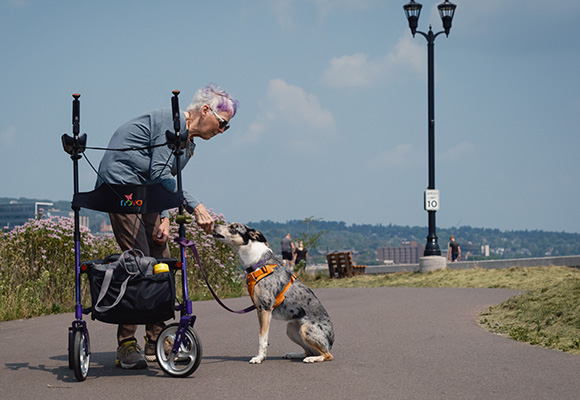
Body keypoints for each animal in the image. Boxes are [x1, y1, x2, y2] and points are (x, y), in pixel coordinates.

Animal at [212, 223, 336, 364]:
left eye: (233, 227)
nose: (214, 225)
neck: (258, 263)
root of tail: (331, 342)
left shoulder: (265, 309)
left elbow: (262, 338)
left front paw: (259, 358)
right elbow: (264, 338)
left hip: (305, 330)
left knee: (327, 355)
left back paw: (312, 359)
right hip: (291, 328)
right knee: (309, 351)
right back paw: (294, 354)